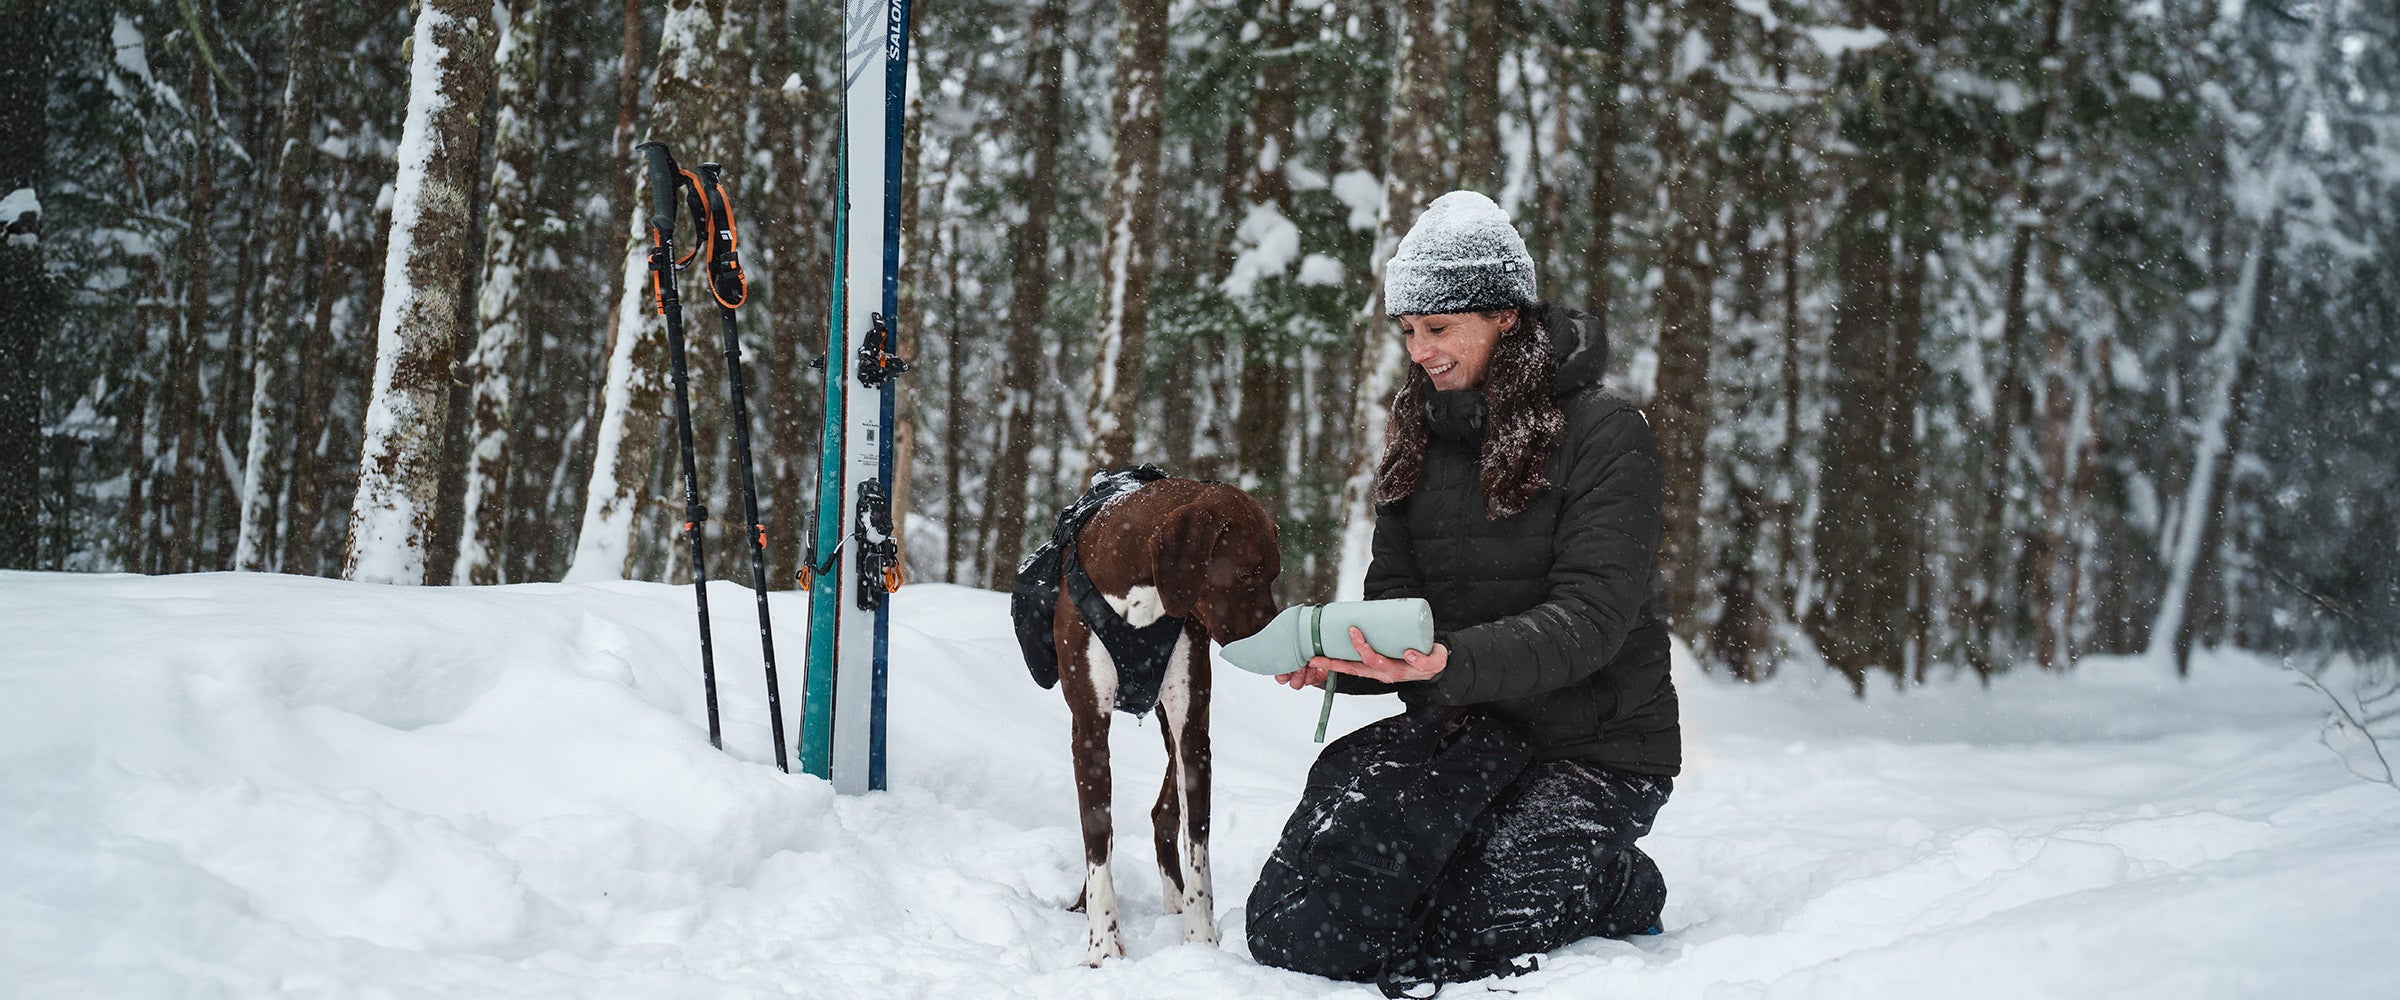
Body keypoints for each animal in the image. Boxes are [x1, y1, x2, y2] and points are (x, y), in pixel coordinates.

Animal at [1012, 472, 1276, 964]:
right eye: (1249, 571)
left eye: (1275, 574)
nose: (1273, 634)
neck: (1142, 593)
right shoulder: (1089, 727)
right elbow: (1097, 836)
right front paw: (1103, 947)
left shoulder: (1192, 726)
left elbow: (1198, 843)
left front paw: (1201, 942)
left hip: (1175, 728)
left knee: (1163, 814)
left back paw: (1175, 900)